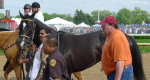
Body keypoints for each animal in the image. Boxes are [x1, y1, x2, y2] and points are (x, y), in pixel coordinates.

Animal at [18, 12, 146, 80]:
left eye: (30, 26)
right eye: (20, 25)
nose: (22, 44)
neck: (57, 42)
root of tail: (127, 36)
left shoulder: (66, 71)